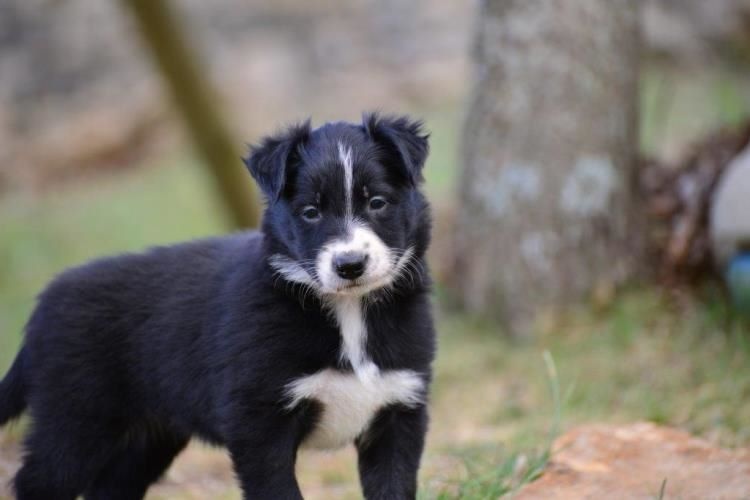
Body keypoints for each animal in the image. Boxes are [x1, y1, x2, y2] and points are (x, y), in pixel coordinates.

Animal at [0, 114, 438, 500]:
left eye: (377, 202)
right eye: (311, 212)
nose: (349, 265)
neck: (348, 311)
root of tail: (45, 301)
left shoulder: (398, 411)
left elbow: (394, 487)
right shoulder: (258, 423)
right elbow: (277, 491)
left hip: (149, 435)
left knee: (109, 488)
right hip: (75, 418)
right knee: (37, 481)